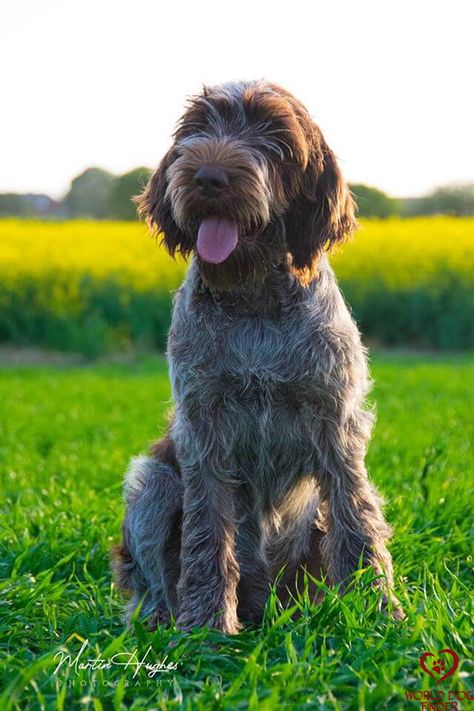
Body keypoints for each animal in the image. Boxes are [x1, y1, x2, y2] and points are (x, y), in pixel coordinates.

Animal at [112, 79, 404, 636]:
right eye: (197, 128)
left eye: (275, 136)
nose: (208, 176)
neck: (254, 302)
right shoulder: (203, 430)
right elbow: (206, 534)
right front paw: (205, 626)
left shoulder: (336, 424)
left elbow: (356, 521)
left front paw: (376, 613)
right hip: (152, 482)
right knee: (150, 581)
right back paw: (164, 618)